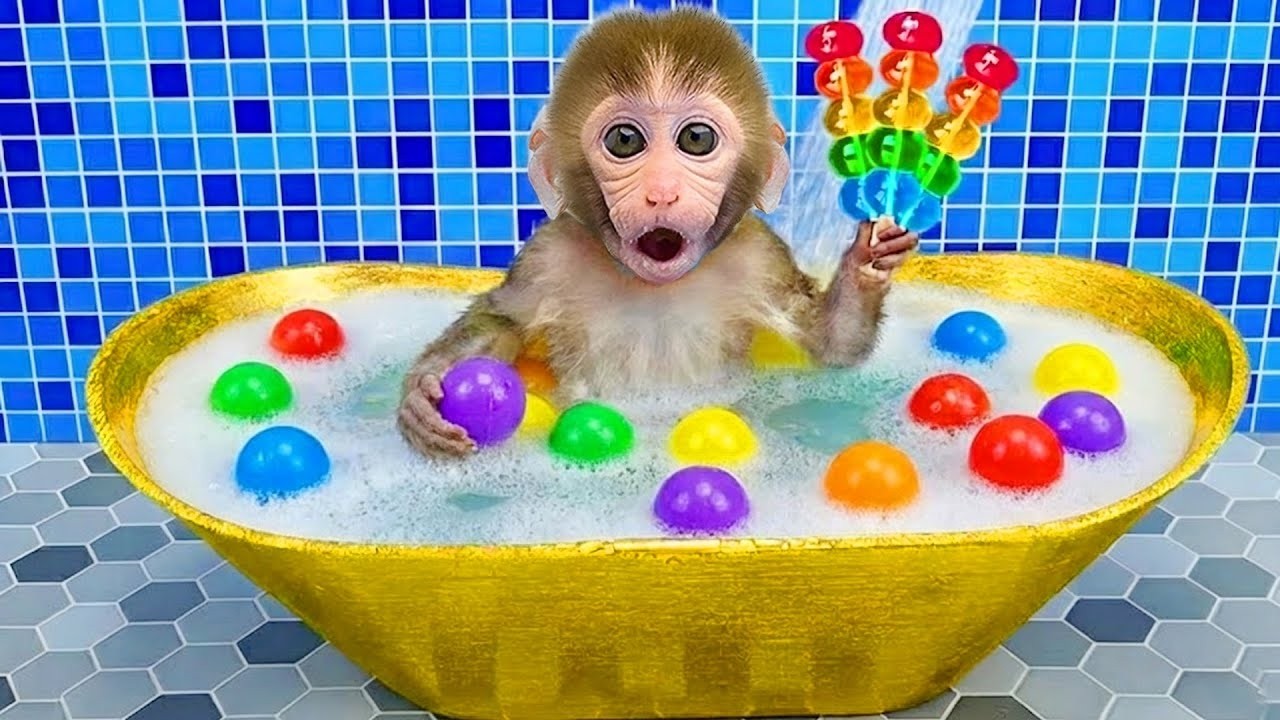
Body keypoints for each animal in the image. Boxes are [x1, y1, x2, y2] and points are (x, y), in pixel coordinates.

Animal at [397, 6, 919, 458]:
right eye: (625, 140)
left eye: (696, 139)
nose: (663, 192)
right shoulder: (546, 256)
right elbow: (503, 318)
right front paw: (420, 395)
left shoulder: (761, 256)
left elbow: (827, 342)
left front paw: (866, 265)